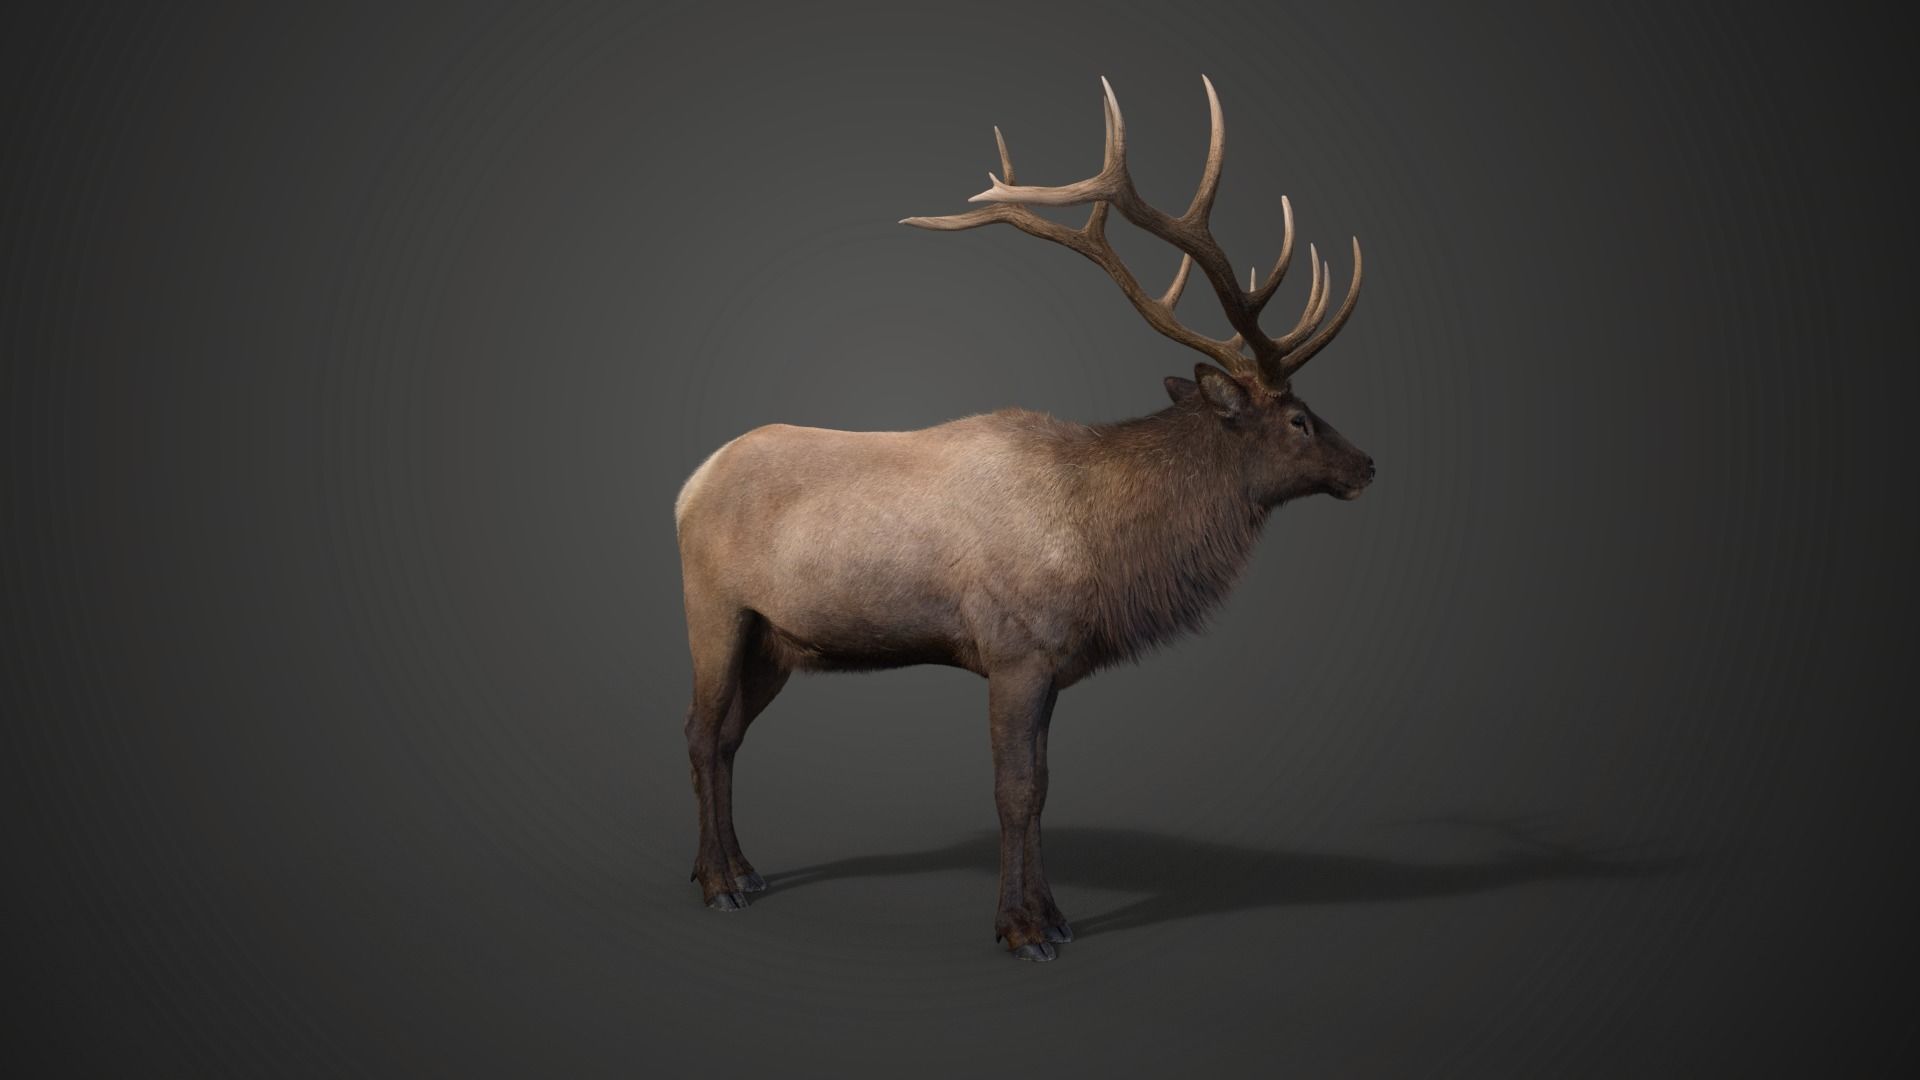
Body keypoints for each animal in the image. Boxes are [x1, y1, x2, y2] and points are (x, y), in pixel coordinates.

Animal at [674, 77, 1374, 961]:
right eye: (1298, 421)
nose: (1369, 465)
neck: (1102, 546)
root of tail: (688, 484)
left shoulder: (1051, 664)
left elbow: (1042, 788)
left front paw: (1055, 916)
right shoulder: (1014, 650)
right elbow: (1016, 790)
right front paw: (1021, 929)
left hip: (779, 640)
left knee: (731, 734)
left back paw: (741, 868)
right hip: (715, 608)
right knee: (701, 730)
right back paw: (719, 884)